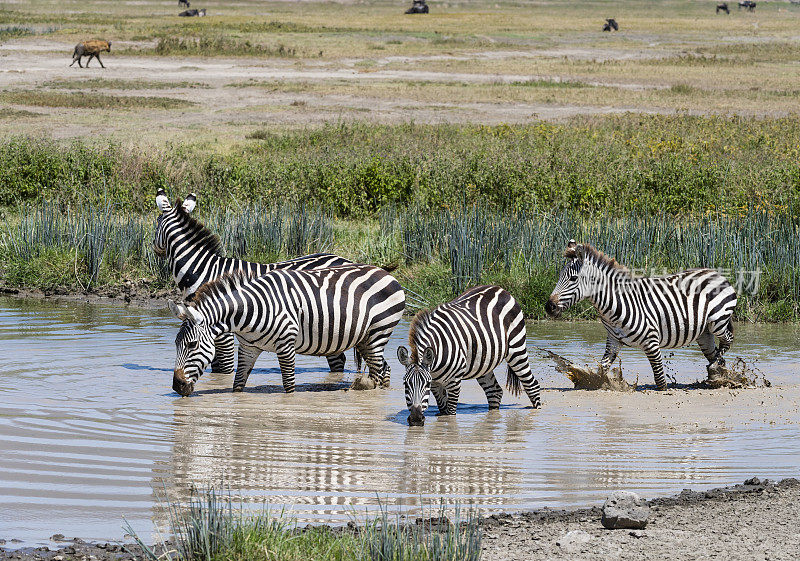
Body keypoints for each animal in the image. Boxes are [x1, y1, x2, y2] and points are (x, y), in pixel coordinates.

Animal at [155, 190, 354, 378]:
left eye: (156, 223)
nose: (156, 251)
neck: (203, 270)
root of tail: (346, 259)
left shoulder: (222, 330)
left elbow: (225, 369)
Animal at [169, 264, 406, 396]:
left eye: (192, 344)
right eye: (176, 344)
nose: (177, 387)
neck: (251, 310)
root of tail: (385, 272)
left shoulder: (286, 344)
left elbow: (289, 385)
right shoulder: (248, 347)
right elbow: (238, 384)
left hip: (379, 331)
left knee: (377, 371)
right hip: (366, 338)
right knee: (384, 369)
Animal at [396, 286, 540, 426]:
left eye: (426, 384)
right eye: (405, 384)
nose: (415, 419)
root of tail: (501, 289)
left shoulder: (454, 382)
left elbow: (450, 414)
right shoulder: (436, 384)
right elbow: (443, 409)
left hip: (517, 349)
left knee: (532, 386)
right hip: (484, 362)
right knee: (495, 392)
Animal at [544, 240, 736, 390]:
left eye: (573, 279)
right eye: (560, 276)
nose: (548, 307)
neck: (615, 305)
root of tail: (716, 273)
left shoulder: (652, 342)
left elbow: (660, 380)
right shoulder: (613, 341)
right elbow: (602, 369)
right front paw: (596, 383)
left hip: (717, 321)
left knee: (728, 339)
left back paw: (717, 366)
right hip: (704, 334)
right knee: (717, 353)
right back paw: (718, 376)